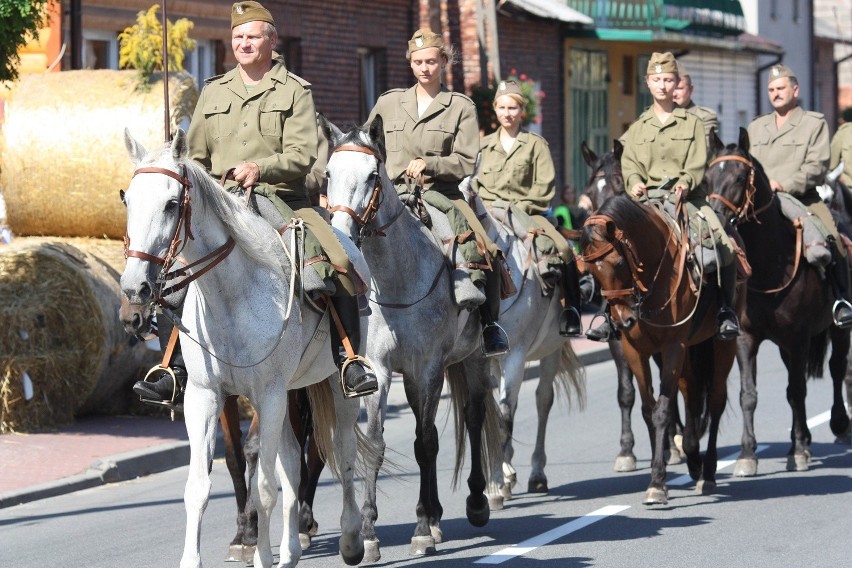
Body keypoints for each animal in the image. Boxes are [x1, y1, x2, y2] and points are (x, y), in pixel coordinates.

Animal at [117, 130, 362, 568]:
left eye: (172, 203)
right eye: (128, 200)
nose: (134, 288)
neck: (230, 294)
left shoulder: (266, 395)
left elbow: (263, 486)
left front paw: (259, 552)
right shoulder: (205, 396)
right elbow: (199, 486)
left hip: (335, 387)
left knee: (343, 451)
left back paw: (352, 540)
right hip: (290, 392)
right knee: (293, 460)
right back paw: (291, 550)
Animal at [322, 116, 502, 564]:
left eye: (372, 176)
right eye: (328, 174)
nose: (341, 235)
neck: (397, 280)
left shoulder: (428, 368)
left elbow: (425, 443)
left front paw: (421, 528)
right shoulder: (381, 369)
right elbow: (375, 444)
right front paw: (369, 534)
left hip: (473, 358)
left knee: (472, 419)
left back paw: (472, 504)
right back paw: (437, 517)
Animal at [580, 193, 740, 504]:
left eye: (620, 263)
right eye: (591, 270)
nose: (623, 320)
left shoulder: (673, 347)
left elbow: (663, 409)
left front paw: (657, 483)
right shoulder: (633, 350)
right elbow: (647, 409)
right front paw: (660, 471)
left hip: (721, 346)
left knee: (715, 401)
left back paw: (708, 473)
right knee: (692, 394)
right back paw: (692, 456)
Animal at [704, 129, 852, 474]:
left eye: (740, 176)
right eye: (707, 178)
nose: (716, 220)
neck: (769, 263)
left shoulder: (798, 338)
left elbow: (797, 390)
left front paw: (797, 452)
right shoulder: (746, 338)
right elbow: (748, 394)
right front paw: (747, 455)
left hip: (838, 330)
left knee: (837, 368)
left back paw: (837, 424)